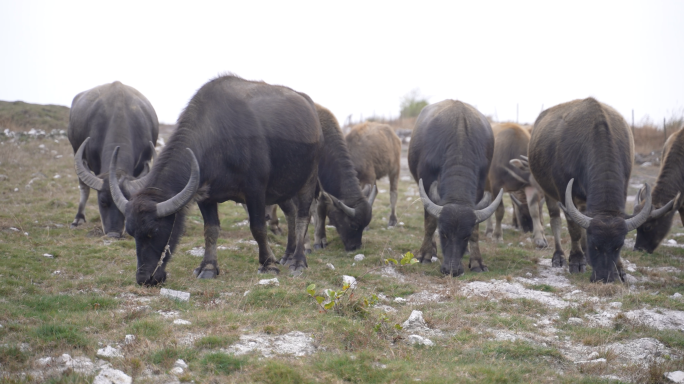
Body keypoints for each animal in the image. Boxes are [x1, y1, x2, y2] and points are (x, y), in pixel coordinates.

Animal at [67, 81, 158, 237]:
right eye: (103, 201)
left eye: (127, 203)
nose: (113, 234)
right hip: (75, 149)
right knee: (84, 187)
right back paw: (78, 219)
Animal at [111, 75, 322, 284]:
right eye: (132, 233)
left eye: (153, 231)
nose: (144, 279)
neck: (219, 139)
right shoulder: (205, 195)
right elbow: (211, 230)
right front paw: (208, 267)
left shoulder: (255, 190)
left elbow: (258, 227)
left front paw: (268, 263)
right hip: (283, 187)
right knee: (291, 213)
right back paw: (288, 254)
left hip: (308, 180)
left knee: (303, 216)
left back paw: (298, 260)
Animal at [408, 99, 504, 276]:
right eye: (443, 234)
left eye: (465, 236)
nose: (452, 270)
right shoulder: (426, 181)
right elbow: (430, 223)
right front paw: (425, 254)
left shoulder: (479, 188)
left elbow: (476, 231)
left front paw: (477, 262)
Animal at [528, 97, 672, 284]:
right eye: (595, 245)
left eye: (619, 246)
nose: (604, 278)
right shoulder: (563, 191)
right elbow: (573, 228)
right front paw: (576, 261)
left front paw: (620, 269)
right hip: (547, 191)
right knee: (555, 220)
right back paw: (559, 256)